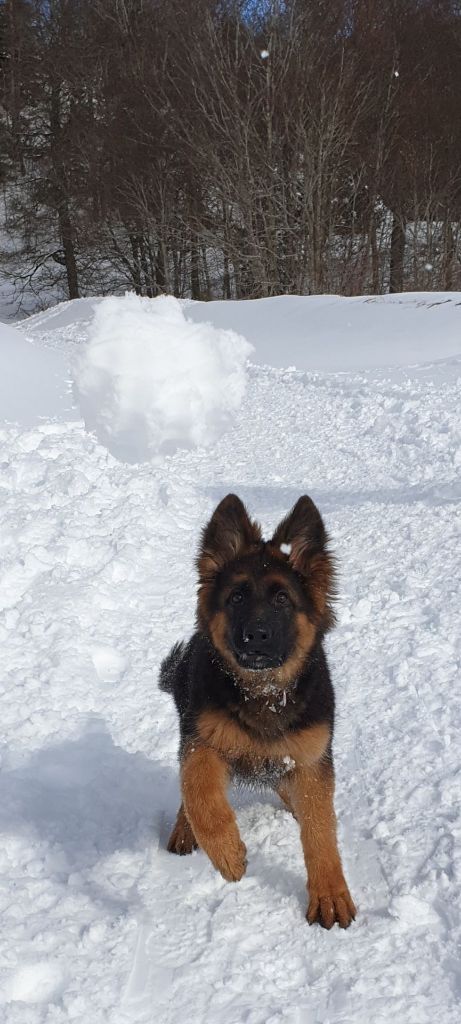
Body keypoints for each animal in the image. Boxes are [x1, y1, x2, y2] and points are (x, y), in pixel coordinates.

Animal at [159, 493, 354, 929]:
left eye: (282, 599)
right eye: (237, 598)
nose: (256, 636)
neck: (264, 693)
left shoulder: (311, 759)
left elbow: (320, 829)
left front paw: (330, 894)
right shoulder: (202, 741)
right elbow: (200, 794)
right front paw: (228, 855)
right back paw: (185, 830)